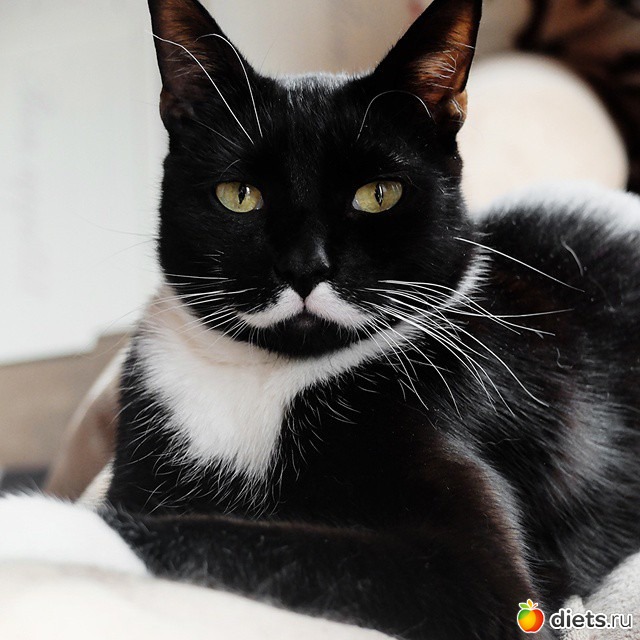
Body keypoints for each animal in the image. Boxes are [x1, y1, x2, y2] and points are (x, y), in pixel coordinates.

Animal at [3, 0, 640, 638]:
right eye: (239, 194)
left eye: (379, 194)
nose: (306, 267)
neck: (268, 378)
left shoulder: (476, 570)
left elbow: (240, 539)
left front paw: (32, 525)